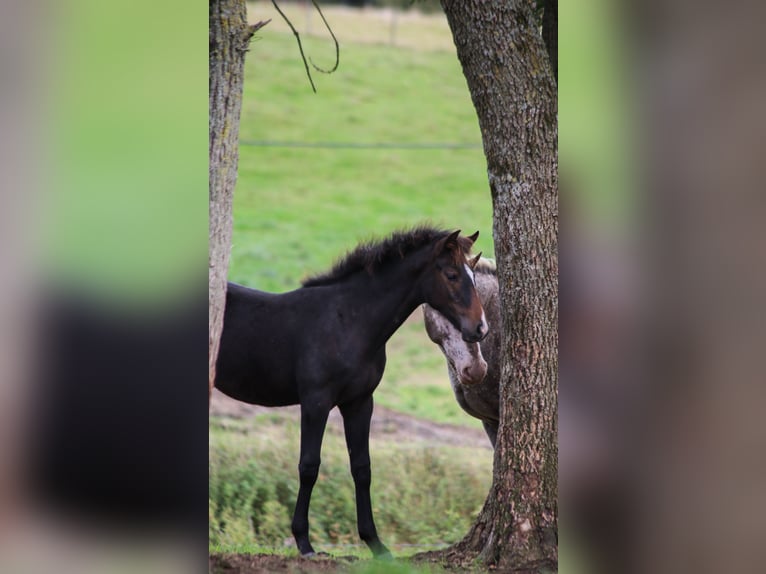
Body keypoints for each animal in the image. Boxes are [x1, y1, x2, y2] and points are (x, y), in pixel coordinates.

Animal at [214, 227, 486, 560]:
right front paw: (304, 543)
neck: (348, 320)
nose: (479, 328)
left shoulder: (360, 403)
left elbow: (362, 468)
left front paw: (376, 544)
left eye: (474, 274)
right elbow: (309, 466)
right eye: (451, 275)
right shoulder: (316, 402)